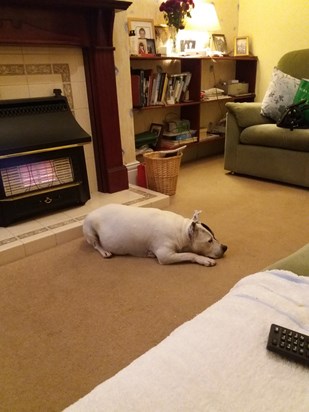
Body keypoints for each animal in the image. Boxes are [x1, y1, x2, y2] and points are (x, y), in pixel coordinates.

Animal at [82, 204, 226, 268]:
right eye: (209, 241)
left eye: (214, 236)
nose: (225, 247)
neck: (181, 230)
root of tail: (90, 213)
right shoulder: (165, 255)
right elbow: (190, 254)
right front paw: (204, 259)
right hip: (90, 230)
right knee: (96, 245)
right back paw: (105, 252)